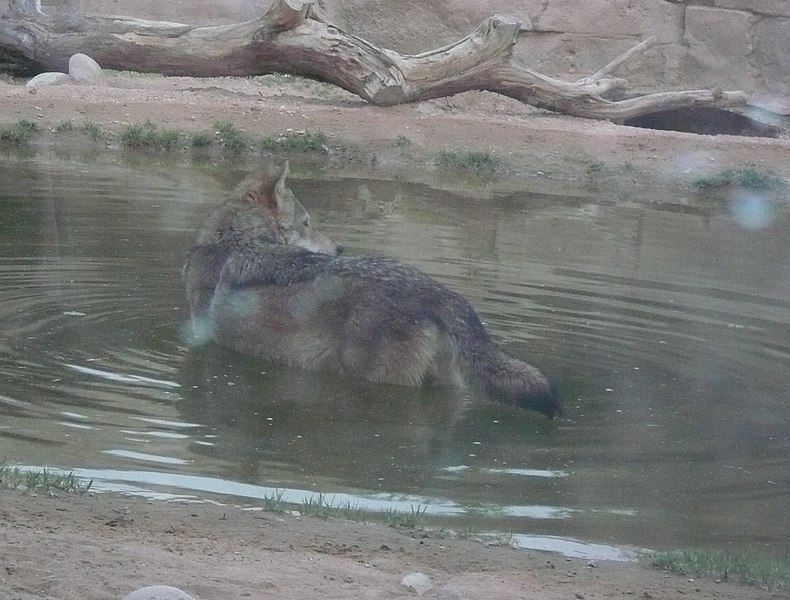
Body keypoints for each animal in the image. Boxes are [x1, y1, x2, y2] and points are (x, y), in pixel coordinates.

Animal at [183, 162, 564, 420]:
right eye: (307, 223)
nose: (339, 248)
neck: (236, 239)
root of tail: (439, 291)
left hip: (381, 380)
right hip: (444, 384)